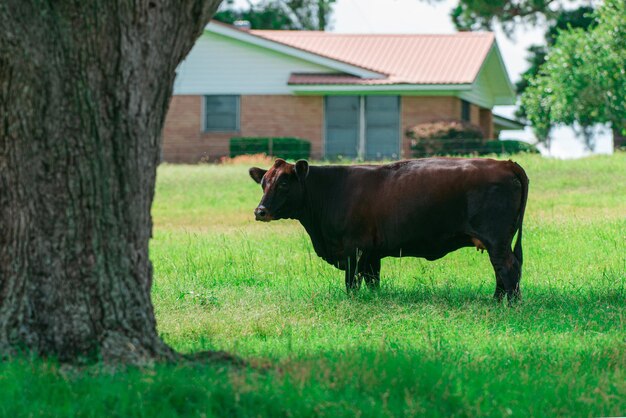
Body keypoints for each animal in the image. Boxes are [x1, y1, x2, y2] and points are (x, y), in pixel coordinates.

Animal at [249, 157, 528, 300]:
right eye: (263, 183)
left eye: (284, 183)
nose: (260, 211)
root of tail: (505, 163)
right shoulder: (371, 254)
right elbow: (373, 282)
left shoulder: (353, 251)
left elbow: (351, 284)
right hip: (497, 242)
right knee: (502, 269)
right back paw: (497, 301)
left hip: (496, 240)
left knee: (507, 268)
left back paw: (508, 304)